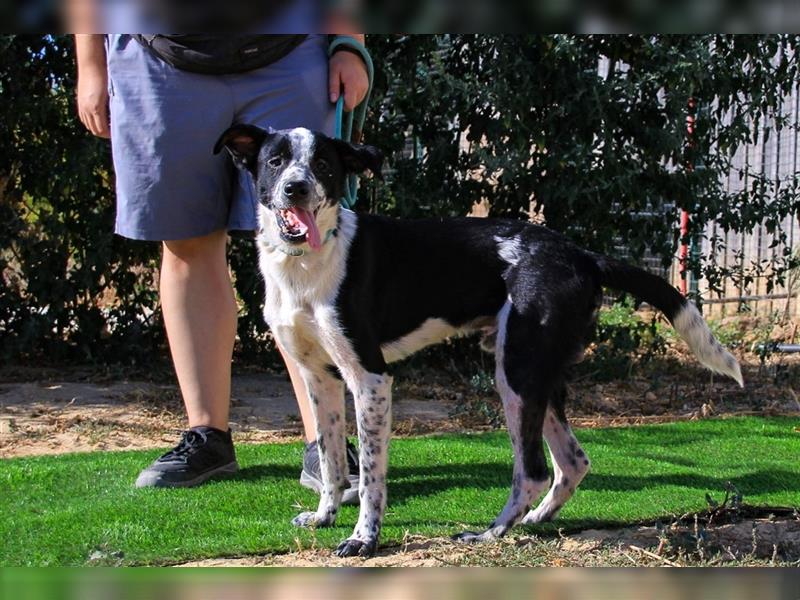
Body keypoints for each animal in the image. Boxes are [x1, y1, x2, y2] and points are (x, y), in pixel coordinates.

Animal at [214, 125, 744, 556]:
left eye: (323, 163)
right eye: (276, 161)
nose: (296, 188)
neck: (306, 263)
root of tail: (581, 254)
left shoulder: (370, 378)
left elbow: (369, 476)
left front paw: (364, 539)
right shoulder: (318, 378)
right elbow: (330, 463)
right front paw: (325, 517)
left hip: (517, 374)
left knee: (533, 469)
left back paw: (491, 532)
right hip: (536, 376)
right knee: (573, 461)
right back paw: (534, 521)